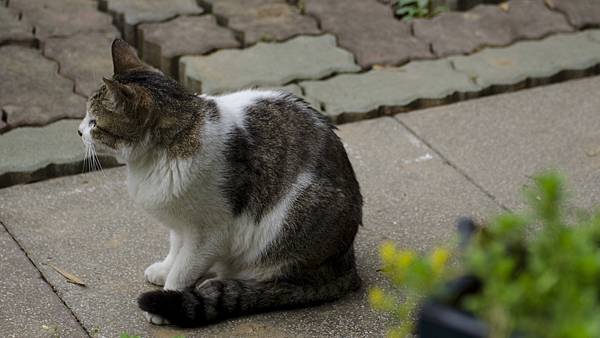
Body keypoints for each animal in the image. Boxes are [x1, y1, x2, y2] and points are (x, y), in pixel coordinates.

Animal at [77, 39, 364, 328]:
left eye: (94, 123)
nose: (78, 131)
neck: (153, 161)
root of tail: (347, 265)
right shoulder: (180, 221)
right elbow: (175, 250)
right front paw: (164, 270)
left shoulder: (210, 234)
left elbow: (184, 268)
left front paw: (168, 297)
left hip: (294, 219)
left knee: (277, 282)